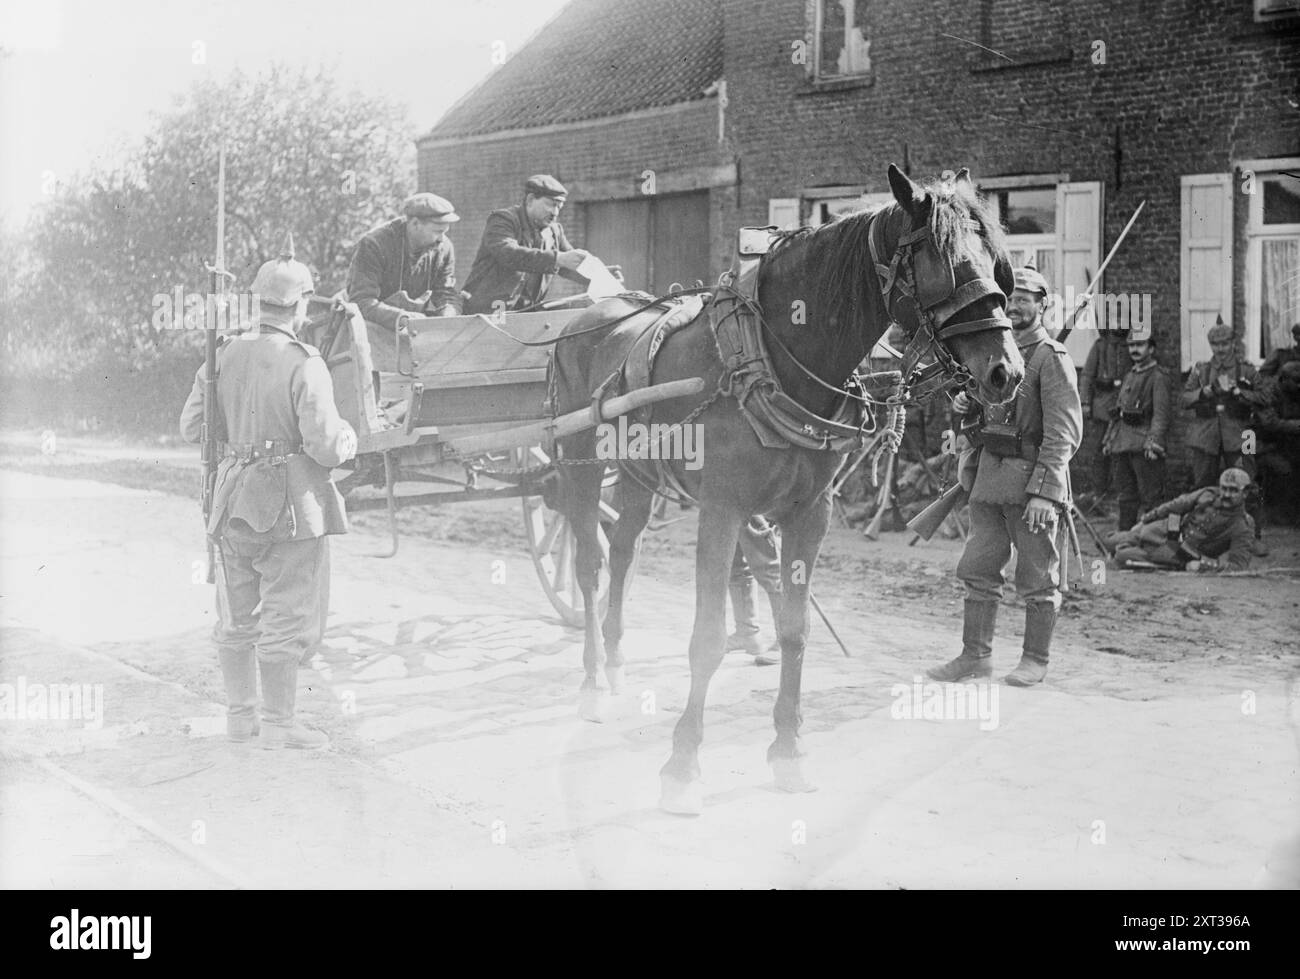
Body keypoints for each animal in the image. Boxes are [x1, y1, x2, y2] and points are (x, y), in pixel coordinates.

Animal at [543, 164, 1019, 811]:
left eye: (997, 261)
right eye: (943, 261)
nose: (1007, 370)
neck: (775, 359)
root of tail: (586, 315)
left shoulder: (809, 515)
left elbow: (794, 630)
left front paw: (789, 752)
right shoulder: (722, 510)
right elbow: (707, 638)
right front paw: (682, 765)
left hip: (638, 477)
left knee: (623, 554)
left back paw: (616, 662)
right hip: (582, 466)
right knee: (589, 566)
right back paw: (593, 680)